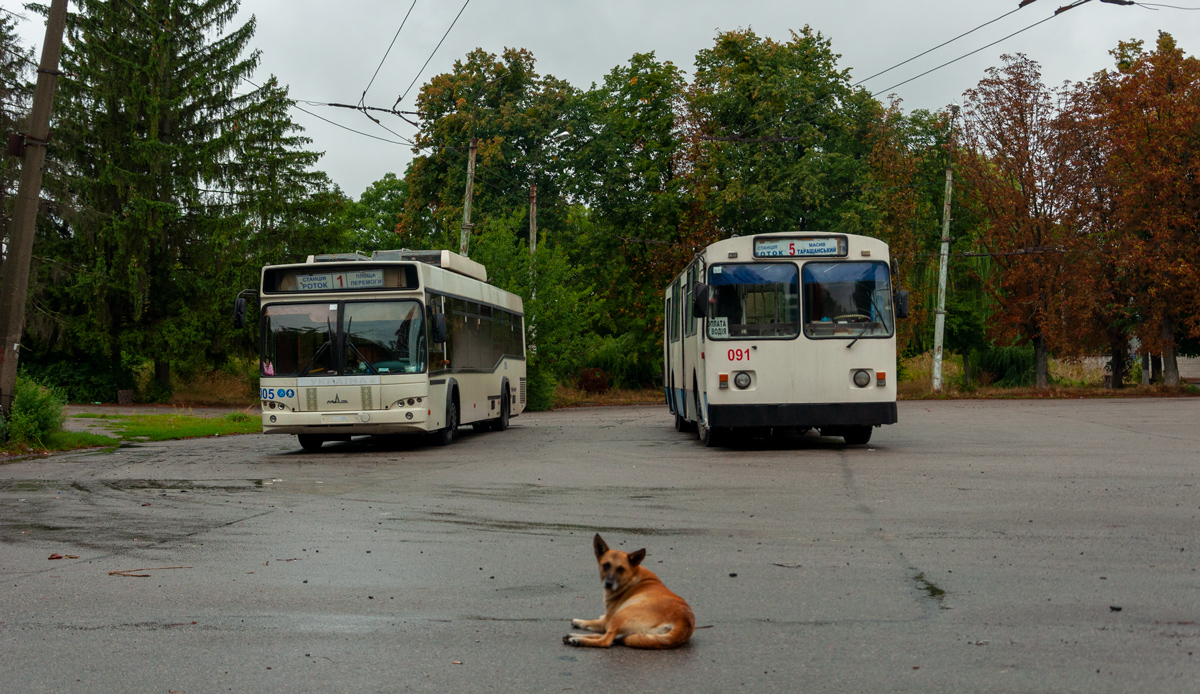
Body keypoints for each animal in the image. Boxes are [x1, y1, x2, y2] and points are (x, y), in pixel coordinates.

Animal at [561, 533, 696, 643]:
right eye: (606, 565)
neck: (632, 578)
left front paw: (580, 621)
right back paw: (574, 636)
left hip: (620, 616)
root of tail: (683, 620)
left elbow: (594, 622)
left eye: (621, 569)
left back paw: (578, 640)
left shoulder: (607, 621)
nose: (608, 584)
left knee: (605, 640)